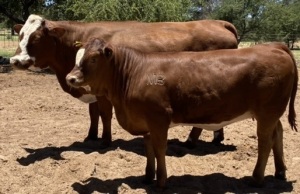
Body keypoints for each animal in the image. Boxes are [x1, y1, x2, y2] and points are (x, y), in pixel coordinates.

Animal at [10, 14, 238, 147]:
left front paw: (105, 141)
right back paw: (217, 137)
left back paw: (190, 140)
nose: (15, 61)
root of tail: (218, 22)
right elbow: (93, 114)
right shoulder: (91, 88)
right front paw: (91, 136)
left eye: (36, 38)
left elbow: (104, 114)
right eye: (20, 35)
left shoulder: (103, 92)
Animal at [66, 38, 298, 189]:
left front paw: (161, 181)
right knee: (278, 135)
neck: (134, 73)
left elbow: (159, 149)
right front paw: (147, 177)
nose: (70, 78)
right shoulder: (146, 122)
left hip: (267, 112)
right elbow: (149, 149)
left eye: (93, 59)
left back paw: (256, 179)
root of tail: (275, 47)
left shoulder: (159, 118)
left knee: (265, 142)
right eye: (77, 56)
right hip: (271, 114)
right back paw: (280, 172)